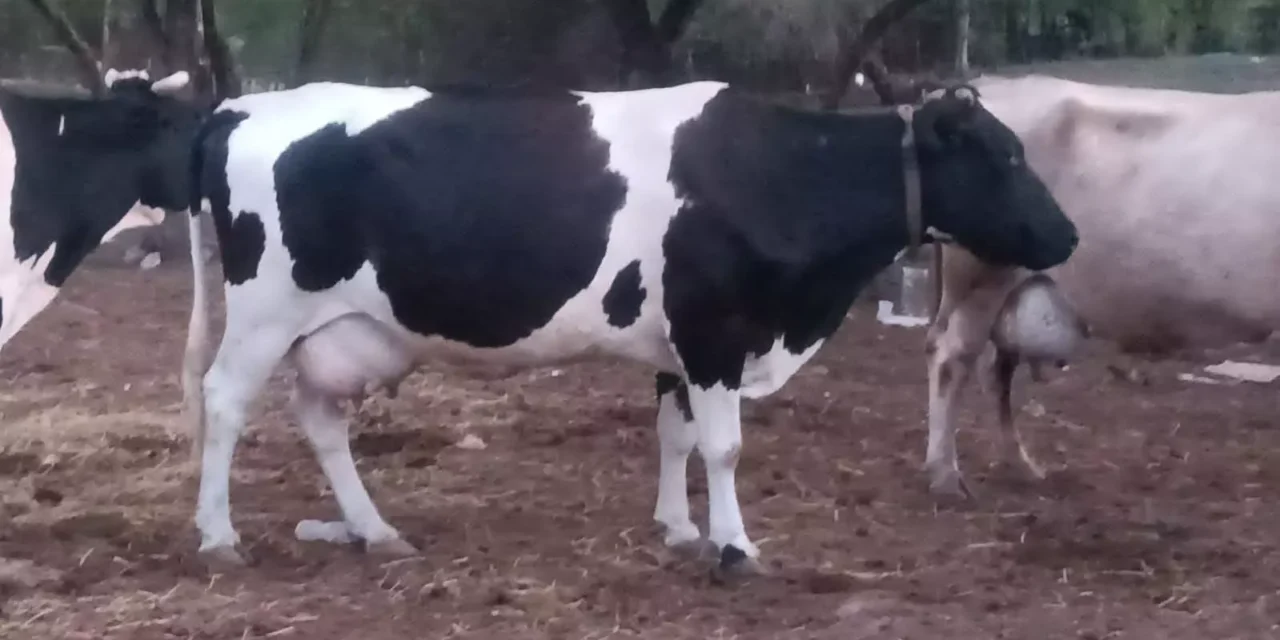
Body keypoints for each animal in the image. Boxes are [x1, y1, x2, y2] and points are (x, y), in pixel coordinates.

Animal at [180, 79, 1078, 573]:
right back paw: (219, 536)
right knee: (224, 402)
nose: (1068, 235)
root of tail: (244, 106)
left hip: (338, 327)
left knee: (319, 418)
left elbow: (674, 435)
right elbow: (724, 447)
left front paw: (679, 530)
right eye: (1005, 156)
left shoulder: (681, 344)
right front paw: (735, 547)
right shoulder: (716, 331)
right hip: (265, 311)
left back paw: (375, 530)